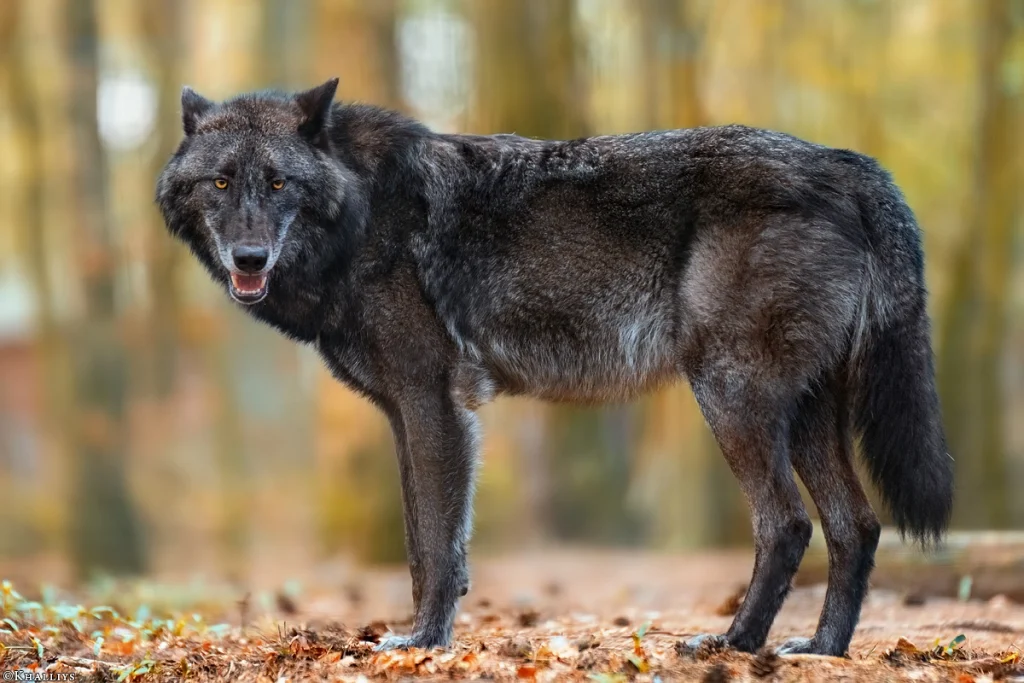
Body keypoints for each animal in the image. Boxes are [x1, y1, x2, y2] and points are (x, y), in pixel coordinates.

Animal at [155, 78, 954, 655]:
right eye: (220, 183)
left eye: (278, 184)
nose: (249, 258)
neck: (362, 213)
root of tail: (846, 162)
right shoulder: (406, 413)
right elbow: (425, 543)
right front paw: (422, 635)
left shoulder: (433, 402)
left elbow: (436, 544)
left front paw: (425, 642)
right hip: (804, 412)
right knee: (857, 525)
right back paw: (820, 649)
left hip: (732, 396)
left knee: (787, 522)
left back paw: (733, 642)